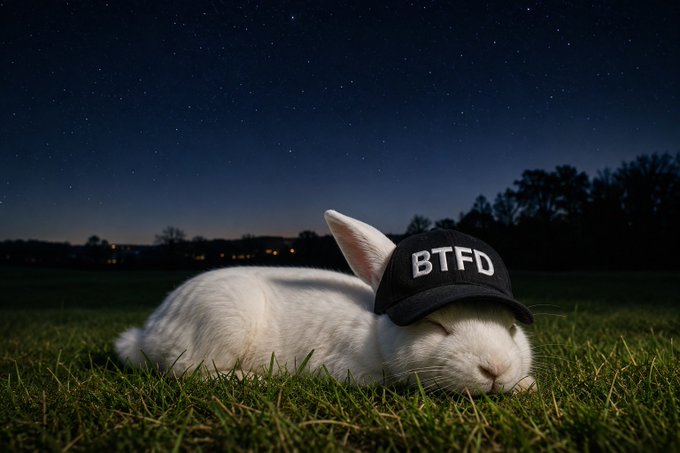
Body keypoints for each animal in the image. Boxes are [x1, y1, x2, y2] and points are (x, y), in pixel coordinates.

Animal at [115, 210, 535, 394]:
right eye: (438, 326)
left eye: (512, 328)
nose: (496, 370)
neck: (376, 333)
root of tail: (149, 332)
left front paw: (525, 384)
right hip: (222, 324)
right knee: (188, 371)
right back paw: (254, 378)